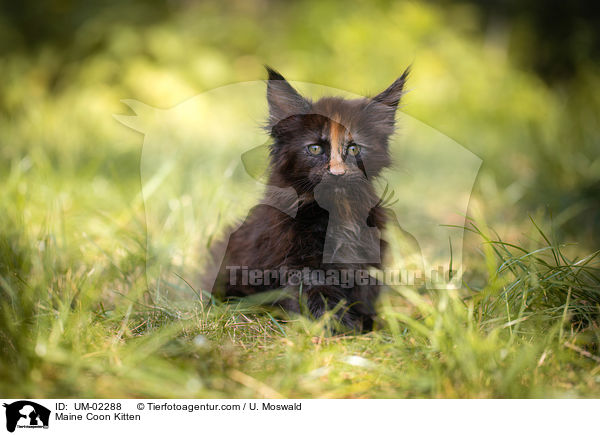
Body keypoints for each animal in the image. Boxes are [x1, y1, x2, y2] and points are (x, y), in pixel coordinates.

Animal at [209, 66, 410, 332]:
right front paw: (335, 328)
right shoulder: (298, 258)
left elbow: (364, 290)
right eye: (315, 149)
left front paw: (367, 324)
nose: (337, 173)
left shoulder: (367, 253)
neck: (338, 210)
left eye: (354, 149)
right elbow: (316, 294)